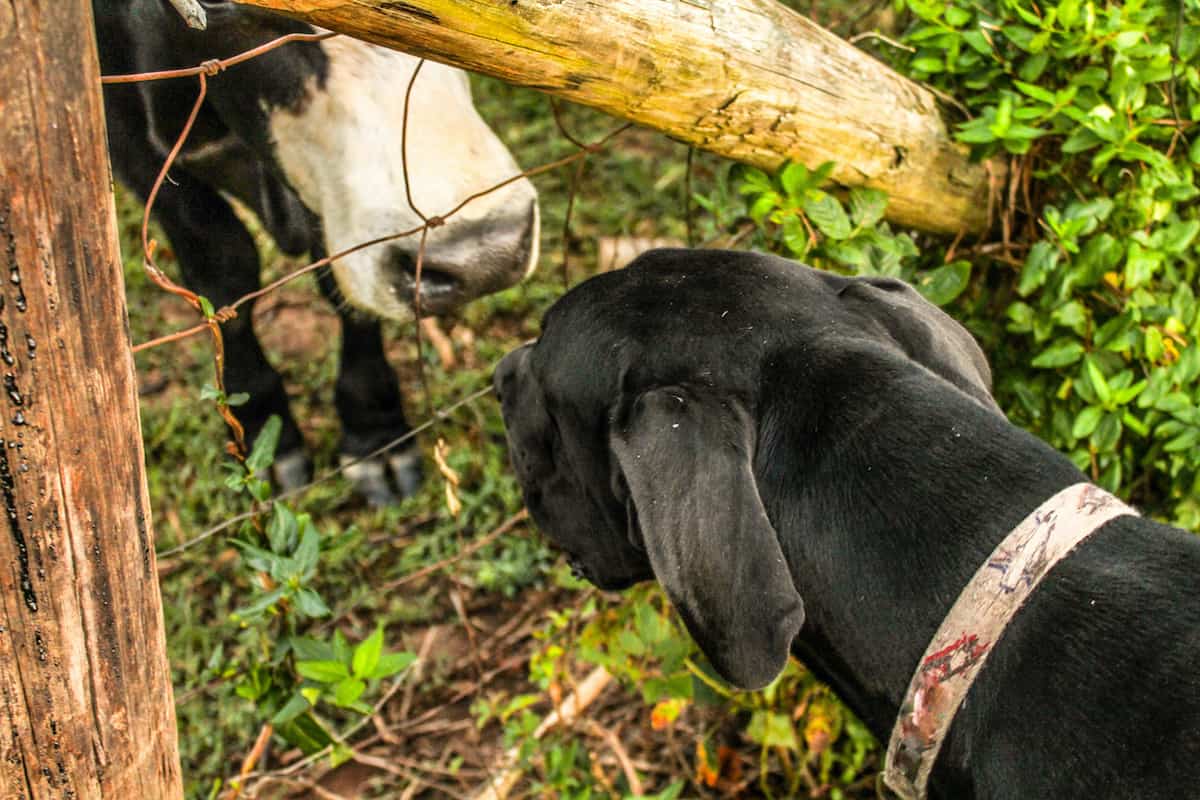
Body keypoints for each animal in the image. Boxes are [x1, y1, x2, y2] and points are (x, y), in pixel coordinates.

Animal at [98, 0, 540, 503]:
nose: (486, 256)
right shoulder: (131, 141)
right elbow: (224, 269)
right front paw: (261, 435)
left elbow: (339, 284)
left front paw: (374, 431)